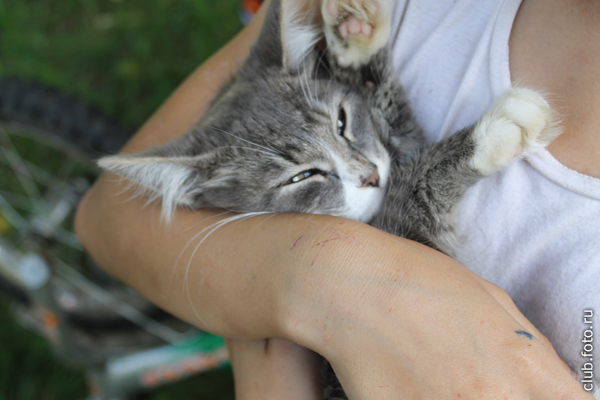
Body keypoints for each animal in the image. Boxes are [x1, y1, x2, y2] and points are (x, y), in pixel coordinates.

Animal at [97, 0, 556, 396]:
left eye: (341, 121)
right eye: (303, 176)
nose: (370, 175)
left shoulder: (395, 143)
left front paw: (354, 39)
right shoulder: (410, 237)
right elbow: (415, 190)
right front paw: (494, 129)